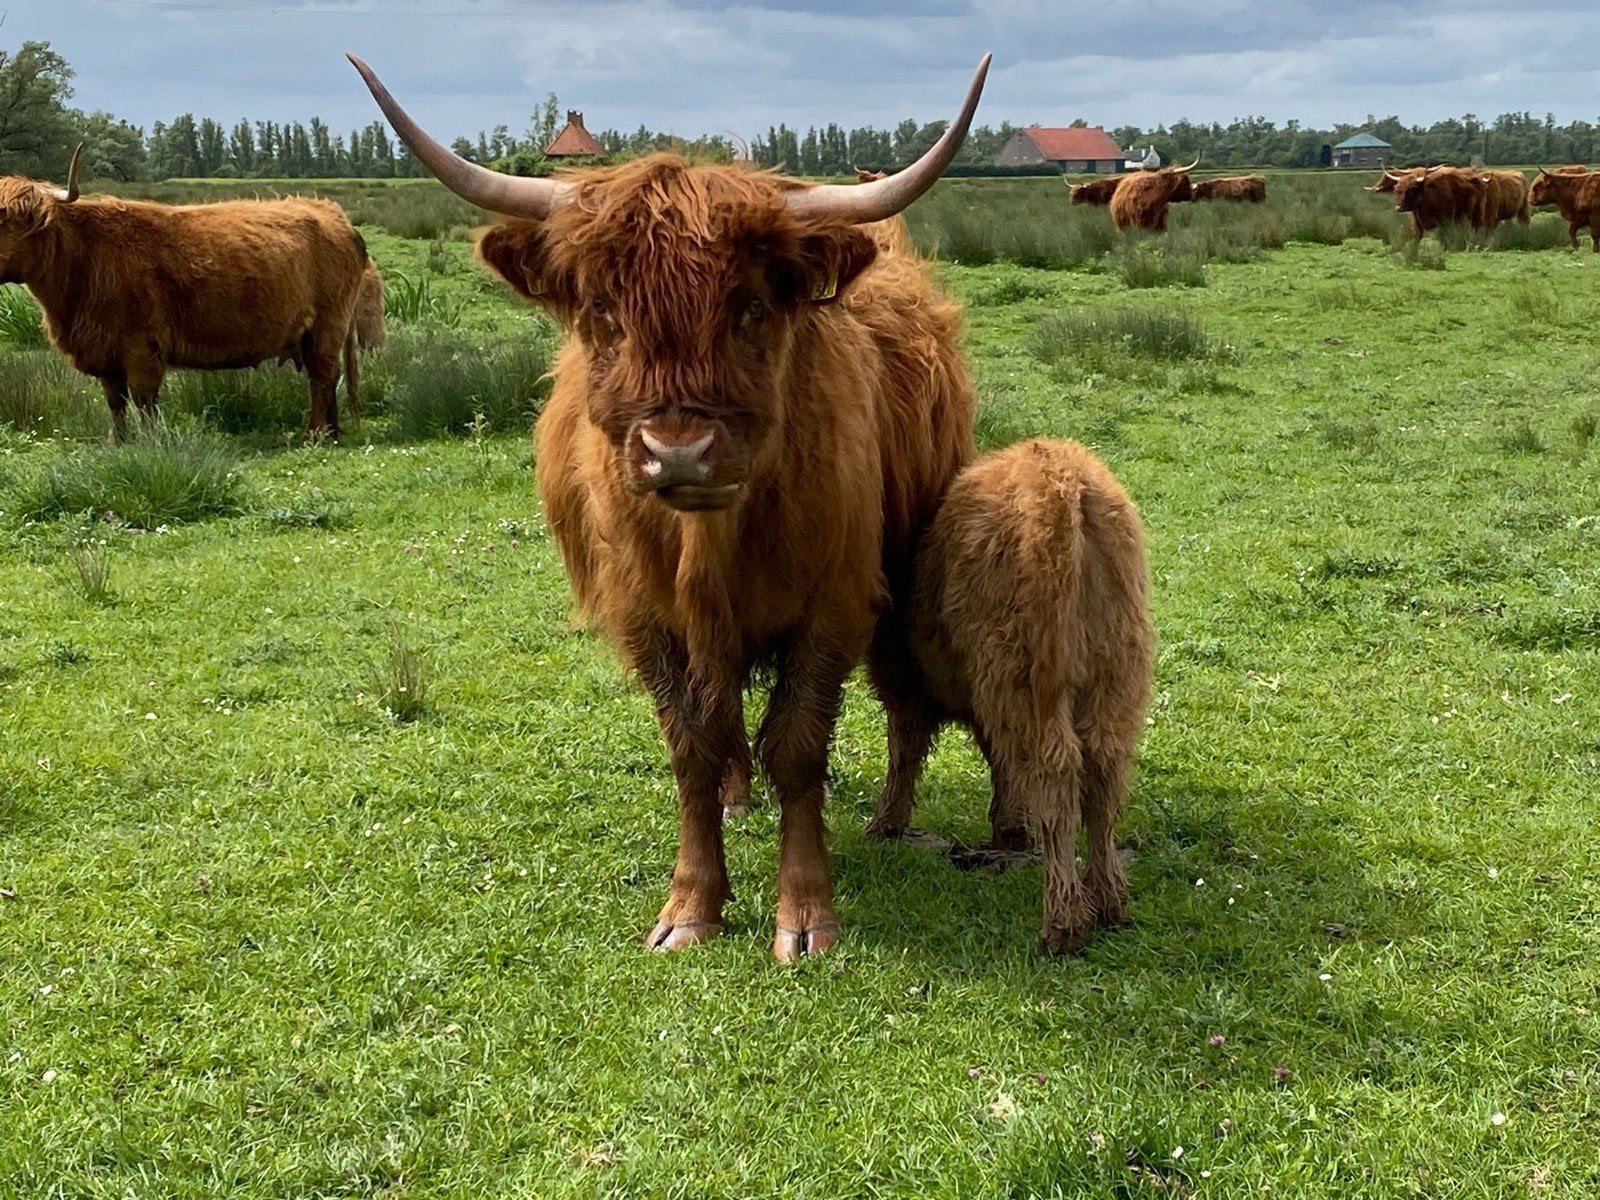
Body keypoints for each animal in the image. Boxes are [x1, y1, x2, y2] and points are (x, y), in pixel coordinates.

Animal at [0, 147, 370, 441]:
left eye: (25, 223)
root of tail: (332, 213)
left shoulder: (142, 347)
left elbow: (144, 400)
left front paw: (150, 445)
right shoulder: (103, 351)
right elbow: (115, 402)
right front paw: (117, 443)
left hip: (327, 324)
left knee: (323, 376)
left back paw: (315, 433)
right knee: (325, 377)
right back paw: (332, 431)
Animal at [350, 52, 987, 961]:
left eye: (753, 306)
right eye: (603, 312)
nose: (679, 452)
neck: (712, 539)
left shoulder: (836, 603)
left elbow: (799, 748)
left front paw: (805, 915)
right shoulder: (643, 613)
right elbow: (690, 747)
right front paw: (692, 904)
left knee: (902, 706)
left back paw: (889, 818)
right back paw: (737, 798)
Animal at [866, 438, 1154, 953]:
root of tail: (1064, 481)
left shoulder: (907, 686)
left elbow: (905, 754)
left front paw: (886, 824)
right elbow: (998, 761)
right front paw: (1010, 829)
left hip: (1024, 676)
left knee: (1056, 774)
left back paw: (1063, 923)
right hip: (1115, 674)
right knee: (1104, 776)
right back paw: (1109, 902)